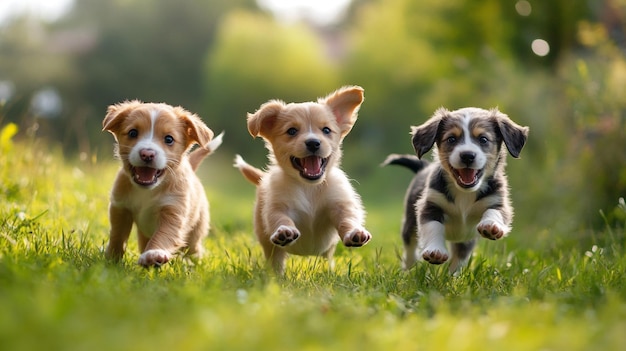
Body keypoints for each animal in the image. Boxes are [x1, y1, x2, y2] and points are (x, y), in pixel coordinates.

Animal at [101, 100, 221, 268]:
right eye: (133, 133)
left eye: (169, 139)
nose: (147, 154)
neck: (148, 191)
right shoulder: (120, 207)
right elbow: (118, 235)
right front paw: (112, 258)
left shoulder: (173, 212)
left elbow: (163, 235)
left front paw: (153, 254)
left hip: (195, 232)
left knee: (194, 250)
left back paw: (189, 264)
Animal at [233, 85, 370, 276]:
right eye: (292, 131)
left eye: (326, 130)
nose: (313, 143)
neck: (309, 187)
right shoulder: (277, 207)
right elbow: (280, 219)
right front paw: (285, 231)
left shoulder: (339, 204)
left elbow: (347, 218)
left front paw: (354, 233)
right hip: (267, 241)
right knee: (275, 258)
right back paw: (276, 276)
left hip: (326, 250)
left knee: (327, 257)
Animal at [382, 108, 524, 274]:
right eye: (451, 139)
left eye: (483, 139)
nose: (467, 155)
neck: (464, 193)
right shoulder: (430, 206)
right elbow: (433, 227)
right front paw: (435, 251)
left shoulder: (498, 202)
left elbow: (495, 212)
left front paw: (491, 225)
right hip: (410, 225)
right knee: (410, 249)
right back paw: (407, 270)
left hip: (465, 241)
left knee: (459, 258)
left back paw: (453, 275)